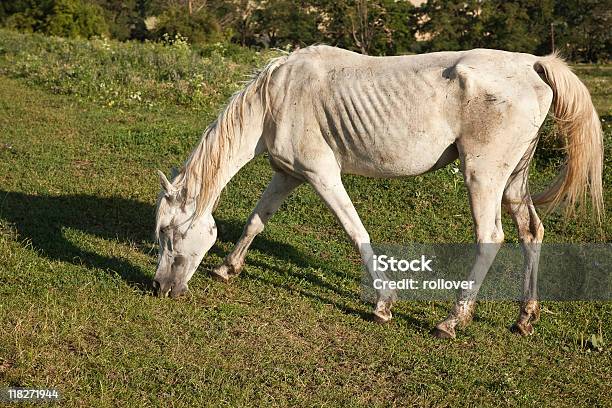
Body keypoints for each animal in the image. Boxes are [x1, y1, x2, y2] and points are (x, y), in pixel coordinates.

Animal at [152, 45, 604, 338]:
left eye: (170, 235)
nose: (158, 289)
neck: (276, 96)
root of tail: (532, 65)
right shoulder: (288, 174)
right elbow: (255, 222)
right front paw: (228, 267)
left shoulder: (322, 175)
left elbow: (357, 233)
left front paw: (383, 304)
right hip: (513, 181)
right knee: (531, 233)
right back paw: (525, 317)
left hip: (483, 176)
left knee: (490, 238)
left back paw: (452, 321)